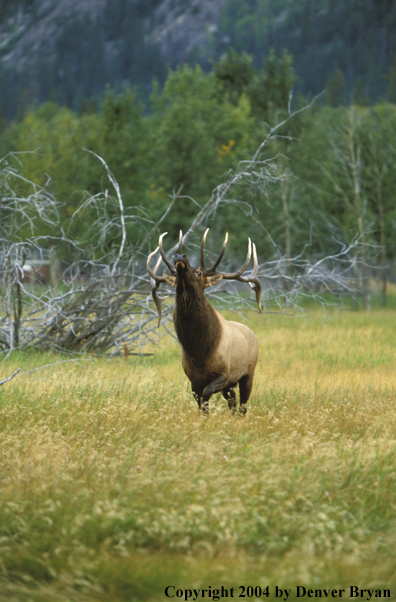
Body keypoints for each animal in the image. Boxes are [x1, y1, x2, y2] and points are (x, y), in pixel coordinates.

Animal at [147, 230, 262, 412]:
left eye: (199, 273)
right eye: (175, 277)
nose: (180, 256)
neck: (199, 352)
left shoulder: (224, 374)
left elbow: (207, 395)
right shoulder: (193, 379)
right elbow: (201, 403)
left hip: (248, 373)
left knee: (242, 405)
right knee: (233, 400)